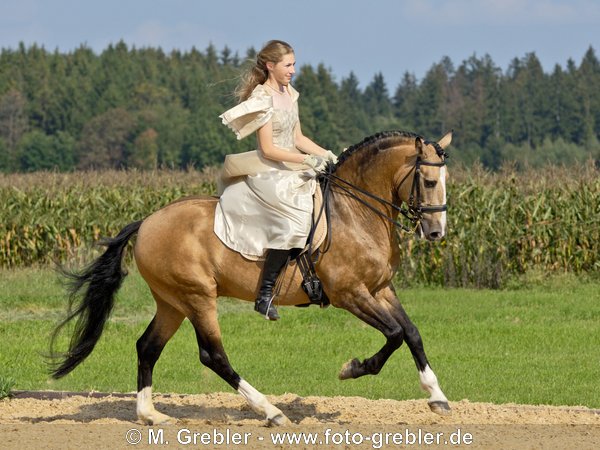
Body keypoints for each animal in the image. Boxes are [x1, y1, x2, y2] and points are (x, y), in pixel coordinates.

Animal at [51, 129, 452, 426]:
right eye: (430, 181)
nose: (435, 233)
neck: (355, 212)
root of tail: (147, 221)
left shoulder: (380, 289)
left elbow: (411, 332)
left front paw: (438, 397)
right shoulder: (350, 294)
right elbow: (394, 334)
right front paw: (353, 369)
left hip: (172, 302)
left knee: (148, 347)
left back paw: (151, 415)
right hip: (197, 297)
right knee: (212, 355)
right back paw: (271, 412)